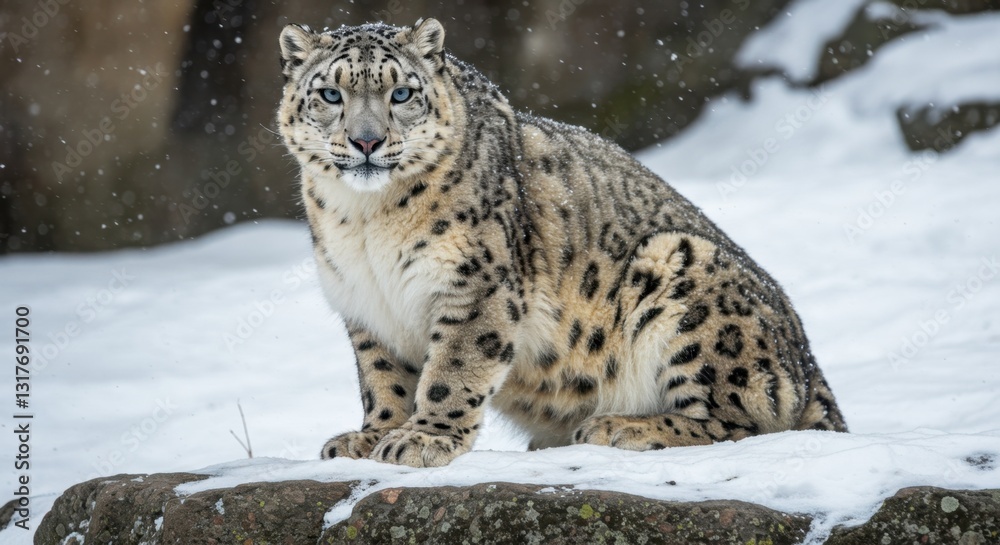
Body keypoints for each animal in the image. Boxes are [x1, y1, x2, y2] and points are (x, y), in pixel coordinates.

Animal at [277, 18, 847, 468]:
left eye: (401, 93)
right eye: (331, 94)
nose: (366, 140)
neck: (366, 223)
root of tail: (809, 365)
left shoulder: (475, 284)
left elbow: (453, 367)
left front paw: (424, 439)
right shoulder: (366, 304)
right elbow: (383, 378)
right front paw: (371, 436)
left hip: (686, 277)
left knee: (740, 421)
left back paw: (620, 426)